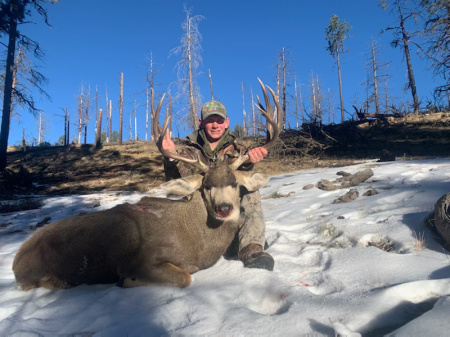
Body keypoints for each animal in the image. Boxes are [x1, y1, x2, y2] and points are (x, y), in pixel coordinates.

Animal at [12, 78, 282, 288]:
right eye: (206, 186)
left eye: (235, 183)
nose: (224, 208)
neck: (197, 242)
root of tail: (16, 262)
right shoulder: (145, 260)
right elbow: (185, 278)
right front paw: (127, 281)